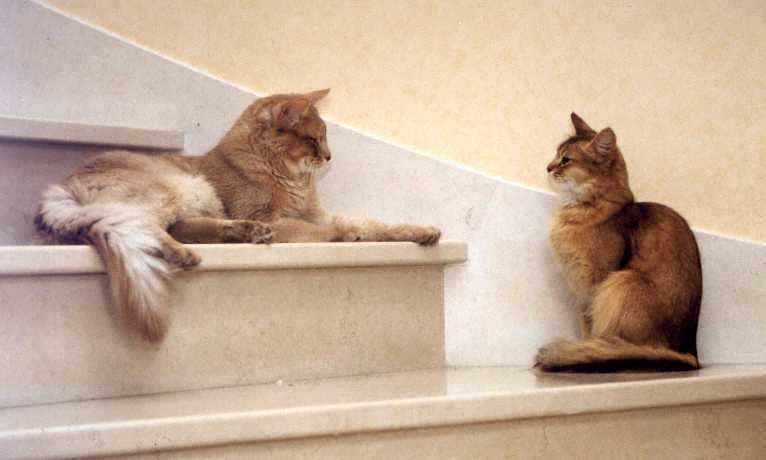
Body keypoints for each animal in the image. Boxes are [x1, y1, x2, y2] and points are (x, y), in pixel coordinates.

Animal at [35, 89, 441, 342]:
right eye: (313, 139)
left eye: (324, 139)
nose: (328, 157)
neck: (291, 178)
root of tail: (60, 190)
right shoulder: (284, 219)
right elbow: (318, 230)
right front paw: (346, 237)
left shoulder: (319, 215)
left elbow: (374, 223)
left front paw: (421, 231)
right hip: (171, 185)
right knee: (152, 228)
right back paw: (191, 252)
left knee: (184, 227)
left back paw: (244, 233)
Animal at [535, 113, 702, 372]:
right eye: (556, 154)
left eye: (566, 160)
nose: (548, 167)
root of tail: (690, 353)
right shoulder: (580, 294)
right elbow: (584, 325)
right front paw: (585, 346)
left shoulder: (594, 283)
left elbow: (591, 326)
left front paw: (587, 349)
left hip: (624, 281)